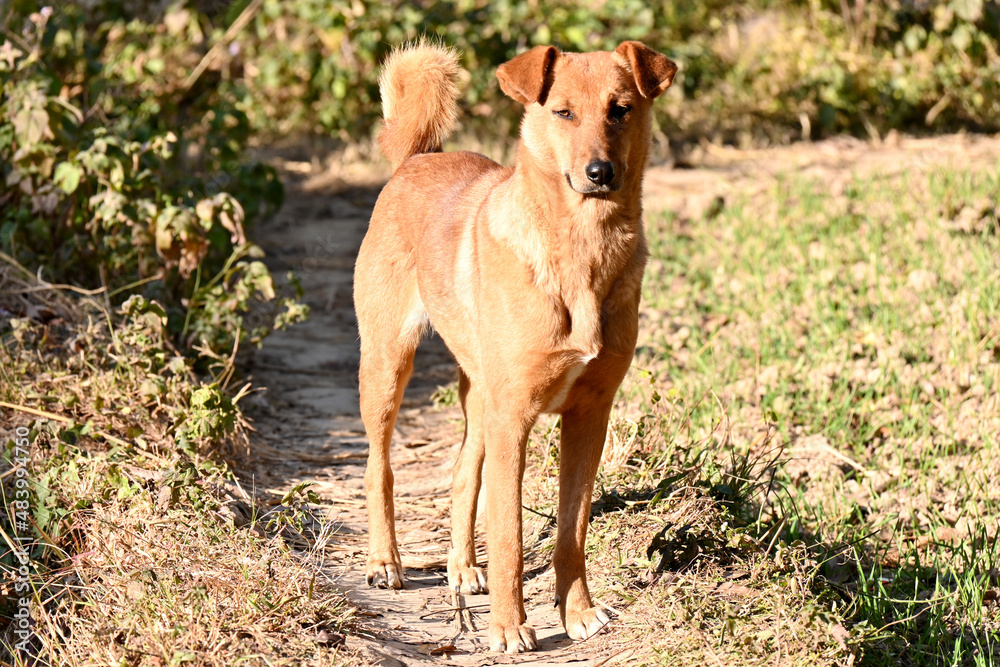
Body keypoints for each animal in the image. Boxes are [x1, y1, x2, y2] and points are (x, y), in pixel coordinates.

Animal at [356, 40, 676, 652]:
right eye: (563, 113)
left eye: (620, 110)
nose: (600, 173)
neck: (581, 248)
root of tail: (416, 159)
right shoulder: (515, 419)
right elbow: (508, 530)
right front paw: (508, 627)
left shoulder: (589, 416)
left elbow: (572, 528)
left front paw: (578, 613)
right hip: (387, 366)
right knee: (379, 466)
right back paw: (385, 561)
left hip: (480, 394)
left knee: (463, 474)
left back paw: (461, 568)